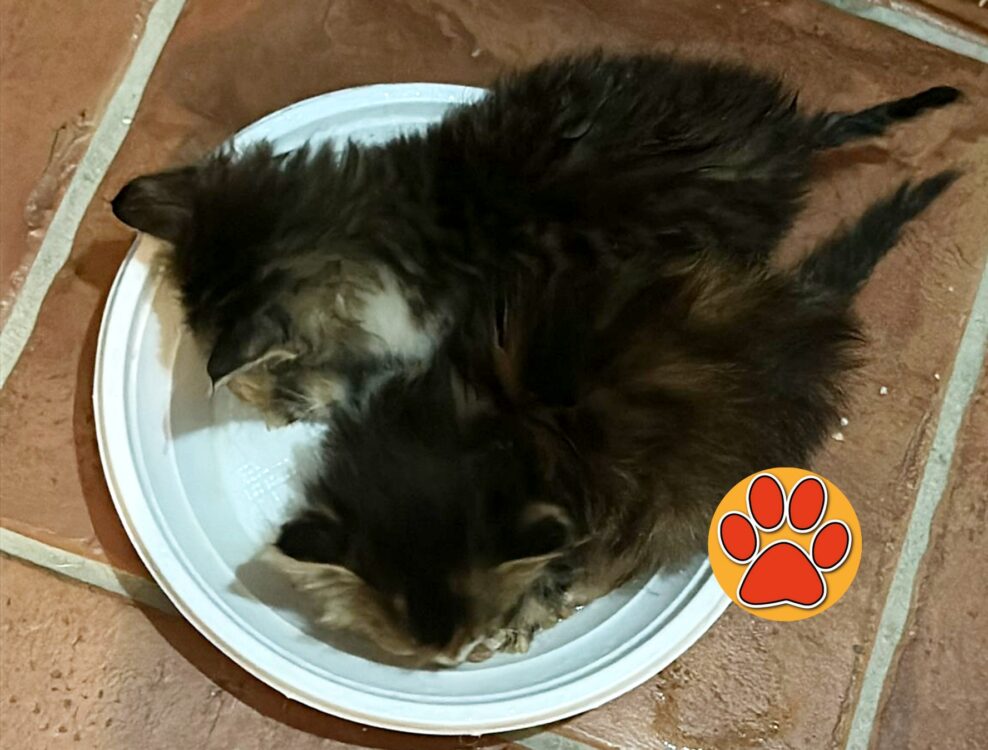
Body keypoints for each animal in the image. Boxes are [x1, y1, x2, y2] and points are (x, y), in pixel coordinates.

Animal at [267, 169, 958, 665]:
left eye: (470, 634)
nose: (454, 659)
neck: (469, 426)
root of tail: (801, 312)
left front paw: (530, 613)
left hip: (685, 488)